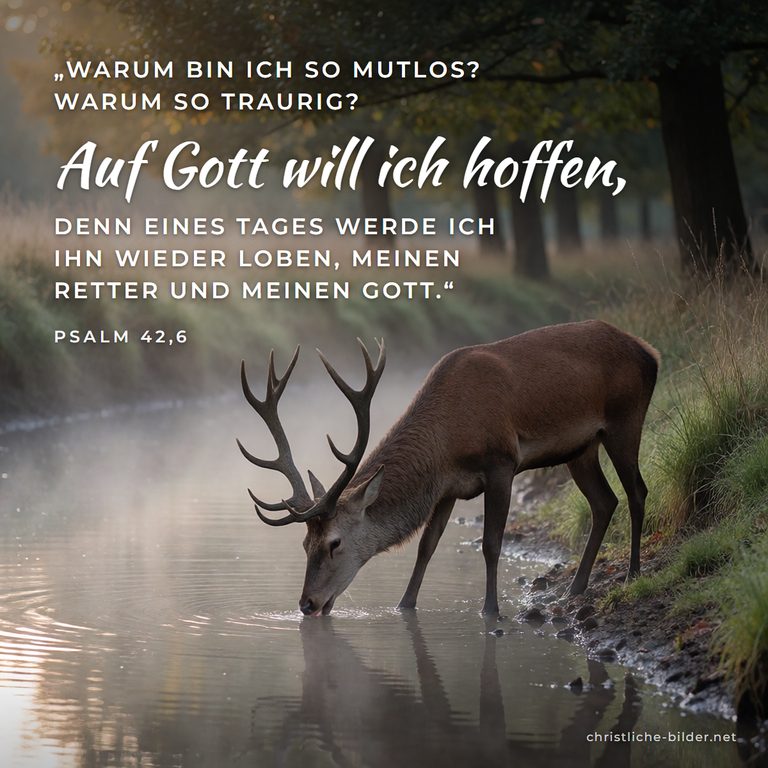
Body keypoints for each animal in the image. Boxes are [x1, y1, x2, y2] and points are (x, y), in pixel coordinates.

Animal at [237, 320, 660, 617]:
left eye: (334, 543)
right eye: (304, 544)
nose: (306, 603)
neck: (449, 439)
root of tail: (649, 352)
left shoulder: (501, 462)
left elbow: (491, 543)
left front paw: (490, 610)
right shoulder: (447, 488)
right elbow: (426, 546)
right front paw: (404, 605)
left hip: (625, 419)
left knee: (637, 491)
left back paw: (633, 573)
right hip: (581, 449)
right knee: (604, 501)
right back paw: (576, 587)